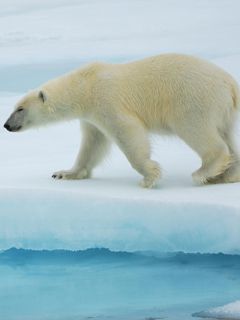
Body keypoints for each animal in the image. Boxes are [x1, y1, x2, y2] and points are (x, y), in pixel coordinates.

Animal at [3, 53, 240, 188]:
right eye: (14, 108)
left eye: (20, 109)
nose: (6, 125)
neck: (85, 86)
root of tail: (230, 84)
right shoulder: (91, 117)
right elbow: (92, 144)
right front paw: (64, 173)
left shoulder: (106, 100)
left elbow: (127, 132)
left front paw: (149, 176)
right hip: (223, 110)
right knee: (228, 136)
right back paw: (225, 175)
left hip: (192, 99)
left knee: (197, 130)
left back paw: (205, 171)